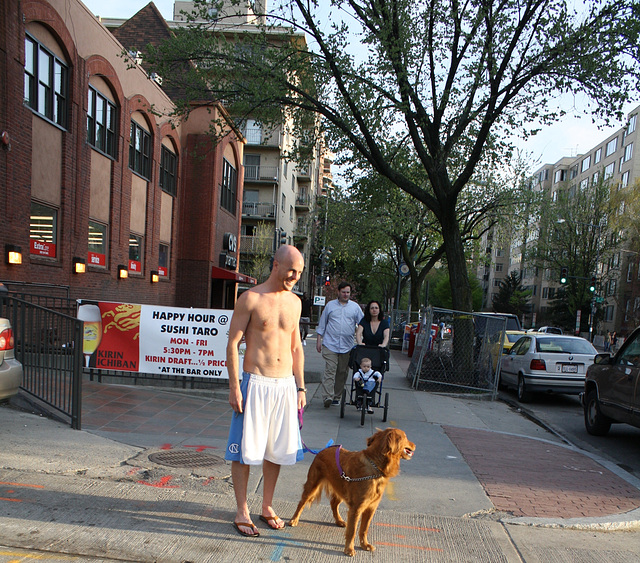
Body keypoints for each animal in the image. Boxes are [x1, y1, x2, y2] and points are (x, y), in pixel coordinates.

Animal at [288, 430, 416, 556]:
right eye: (405, 437)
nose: (414, 445)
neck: (375, 466)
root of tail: (323, 449)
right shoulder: (356, 508)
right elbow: (352, 530)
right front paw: (349, 549)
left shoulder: (371, 508)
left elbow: (364, 529)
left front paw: (365, 545)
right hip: (313, 485)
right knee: (302, 502)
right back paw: (294, 520)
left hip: (342, 488)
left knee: (333, 503)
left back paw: (339, 520)